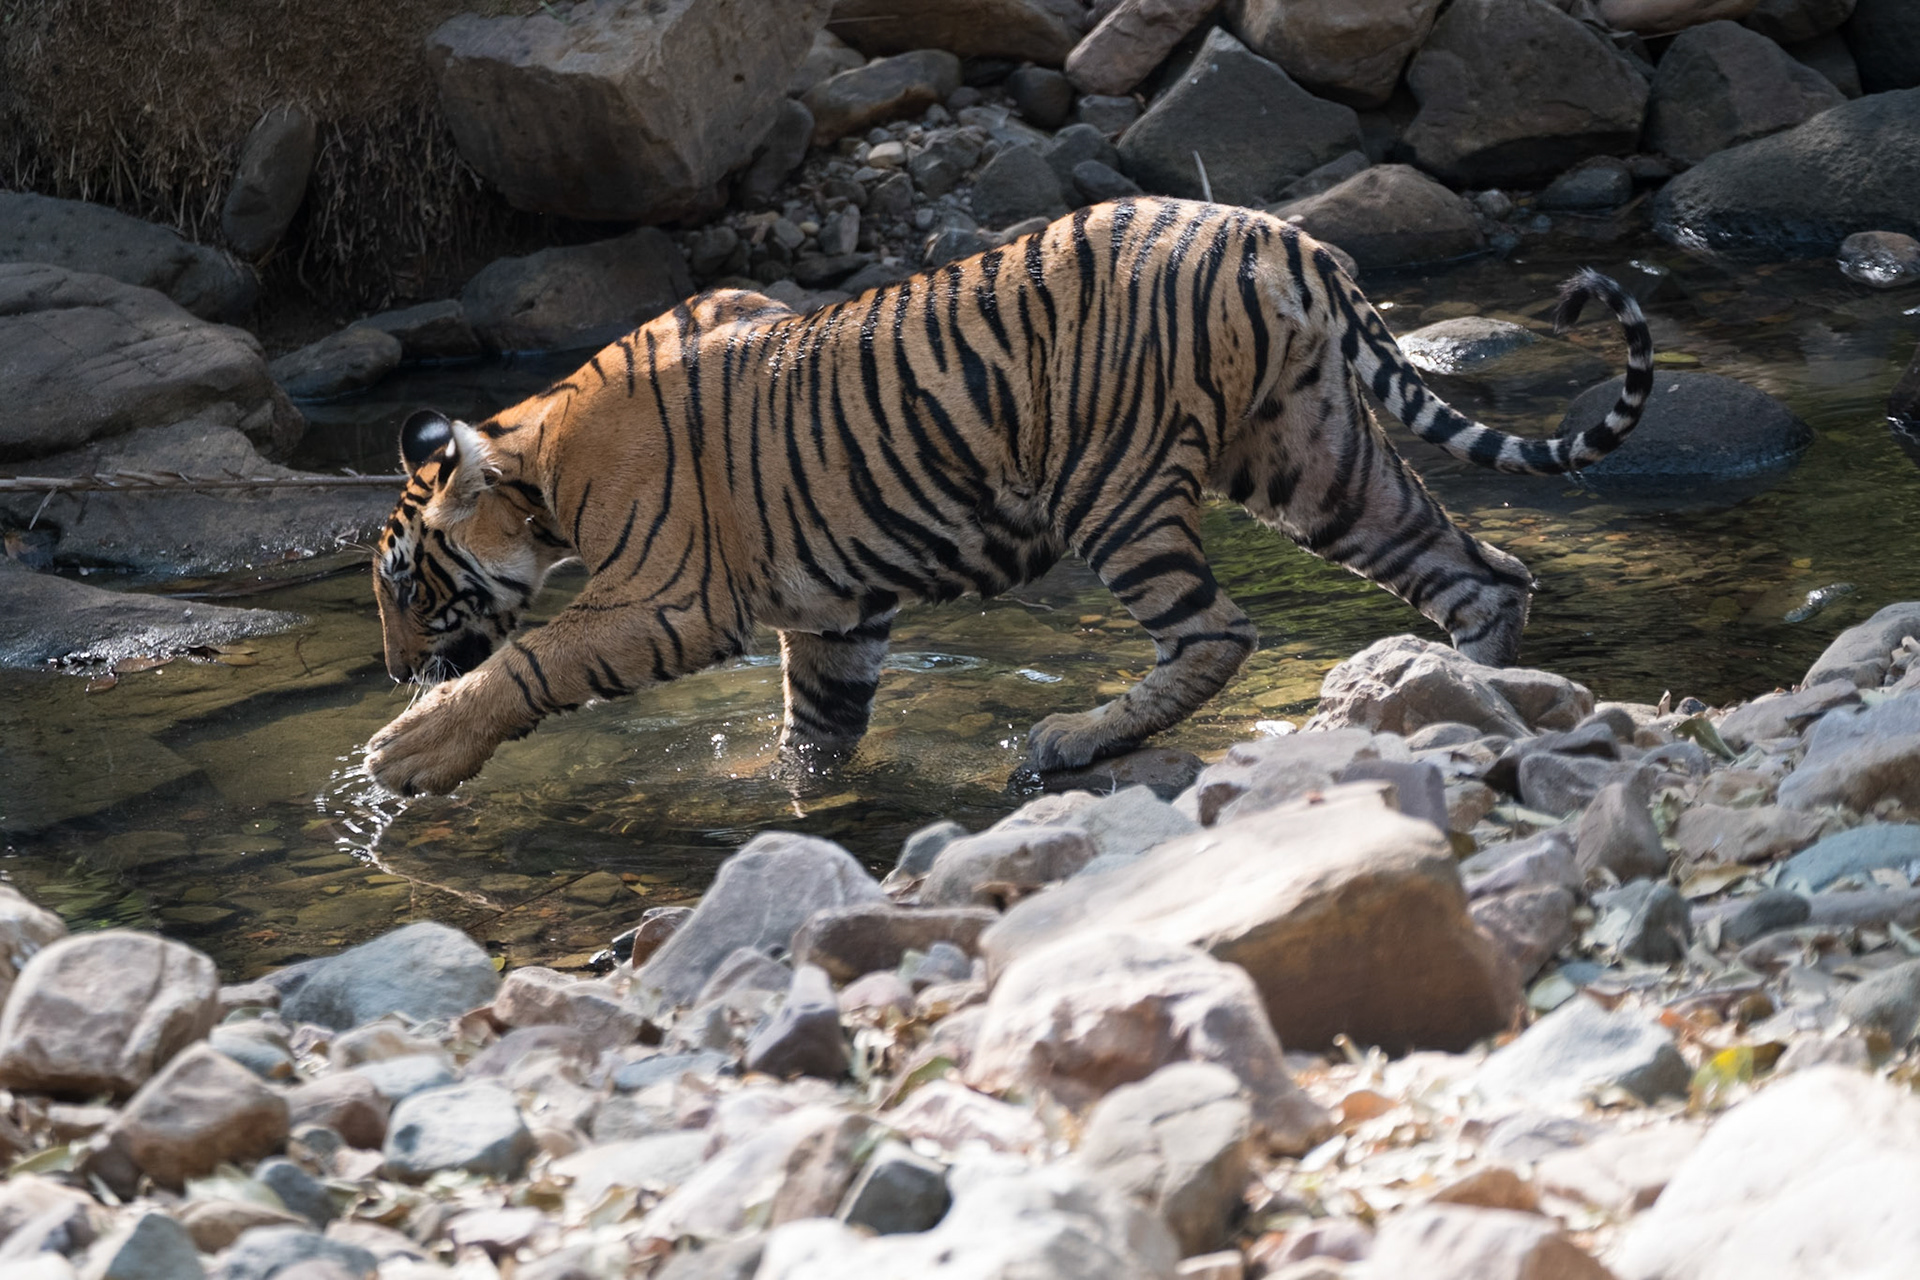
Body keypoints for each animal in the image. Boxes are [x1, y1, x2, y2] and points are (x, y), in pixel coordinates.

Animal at [365, 197, 1652, 796]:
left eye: (405, 585)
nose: (389, 668)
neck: (538, 461)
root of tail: (1282, 236)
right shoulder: (833, 617)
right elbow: (816, 731)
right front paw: (779, 797)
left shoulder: (670, 597)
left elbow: (531, 662)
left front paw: (408, 752)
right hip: (1317, 459)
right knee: (1479, 573)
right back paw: (1463, 708)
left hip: (1115, 484)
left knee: (1217, 628)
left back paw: (1070, 740)